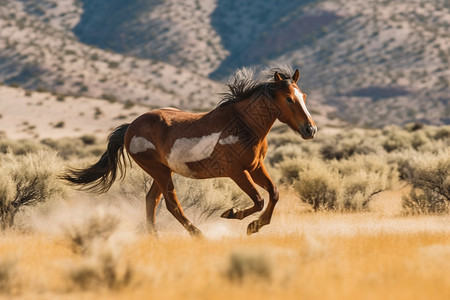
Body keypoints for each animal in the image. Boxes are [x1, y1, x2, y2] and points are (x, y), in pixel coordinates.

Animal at [62, 65, 316, 237]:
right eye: (288, 98)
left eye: (303, 96)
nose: (310, 129)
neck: (243, 124)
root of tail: (130, 127)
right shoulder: (237, 172)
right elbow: (259, 199)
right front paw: (233, 214)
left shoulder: (255, 167)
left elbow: (274, 194)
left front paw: (254, 226)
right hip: (160, 172)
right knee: (171, 204)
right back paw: (198, 235)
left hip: (163, 172)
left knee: (152, 200)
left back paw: (155, 237)